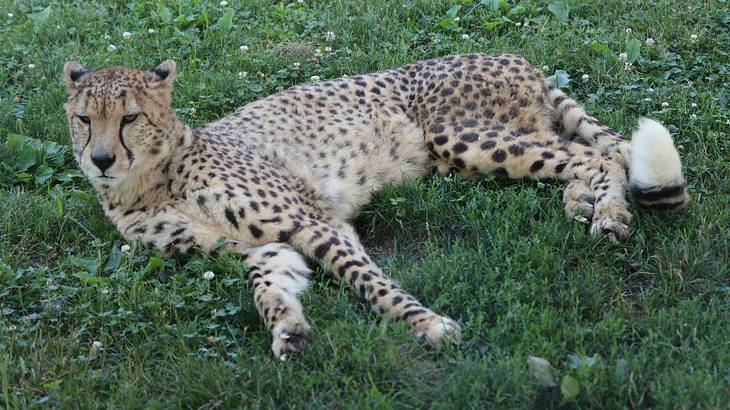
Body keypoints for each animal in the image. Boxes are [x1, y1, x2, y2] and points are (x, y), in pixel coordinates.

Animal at [62, 53, 688, 358]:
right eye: (84, 118)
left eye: (130, 118)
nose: (100, 159)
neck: (149, 181)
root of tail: (508, 53)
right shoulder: (259, 245)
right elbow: (268, 284)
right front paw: (286, 327)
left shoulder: (314, 220)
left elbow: (369, 281)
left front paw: (429, 324)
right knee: (584, 155)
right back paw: (583, 203)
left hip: (459, 138)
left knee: (596, 154)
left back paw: (610, 213)